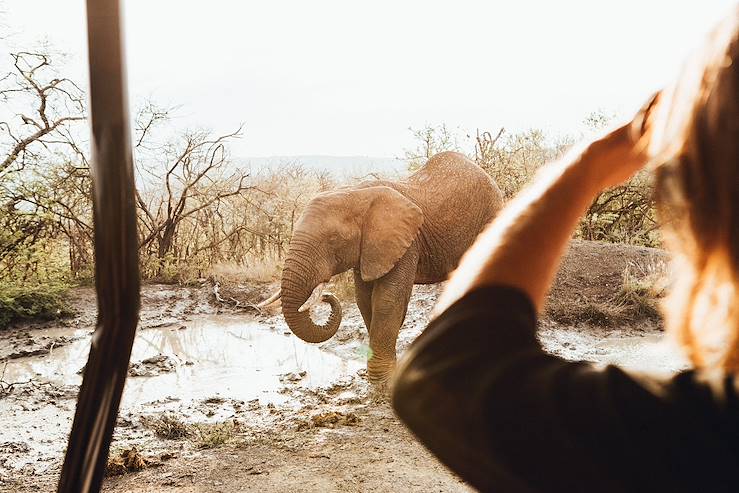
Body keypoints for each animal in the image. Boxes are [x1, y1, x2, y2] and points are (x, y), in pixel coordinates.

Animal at [258, 150, 506, 384]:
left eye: (334, 240)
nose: (326, 296)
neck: (356, 193)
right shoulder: (369, 249)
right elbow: (363, 298)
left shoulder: (405, 243)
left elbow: (387, 300)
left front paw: (381, 379)